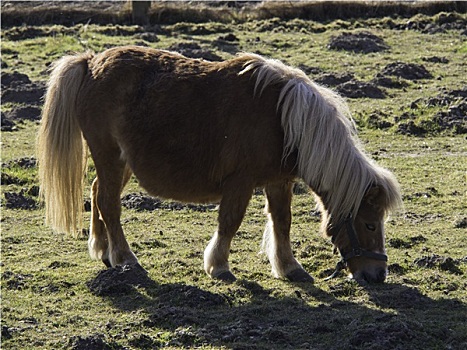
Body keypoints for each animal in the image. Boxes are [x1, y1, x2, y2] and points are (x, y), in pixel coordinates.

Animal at [37, 45, 402, 284]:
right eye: (370, 225)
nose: (378, 275)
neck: (284, 119)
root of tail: (91, 62)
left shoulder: (278, 181)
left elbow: (282, 223)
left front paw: (290, 268)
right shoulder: (240, 182)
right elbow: (230, 222)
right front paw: (219, 266)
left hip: (120, 163)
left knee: (97, 193)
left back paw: (104, 251)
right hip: (109, 156)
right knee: (109, 204)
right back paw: (127, 259)